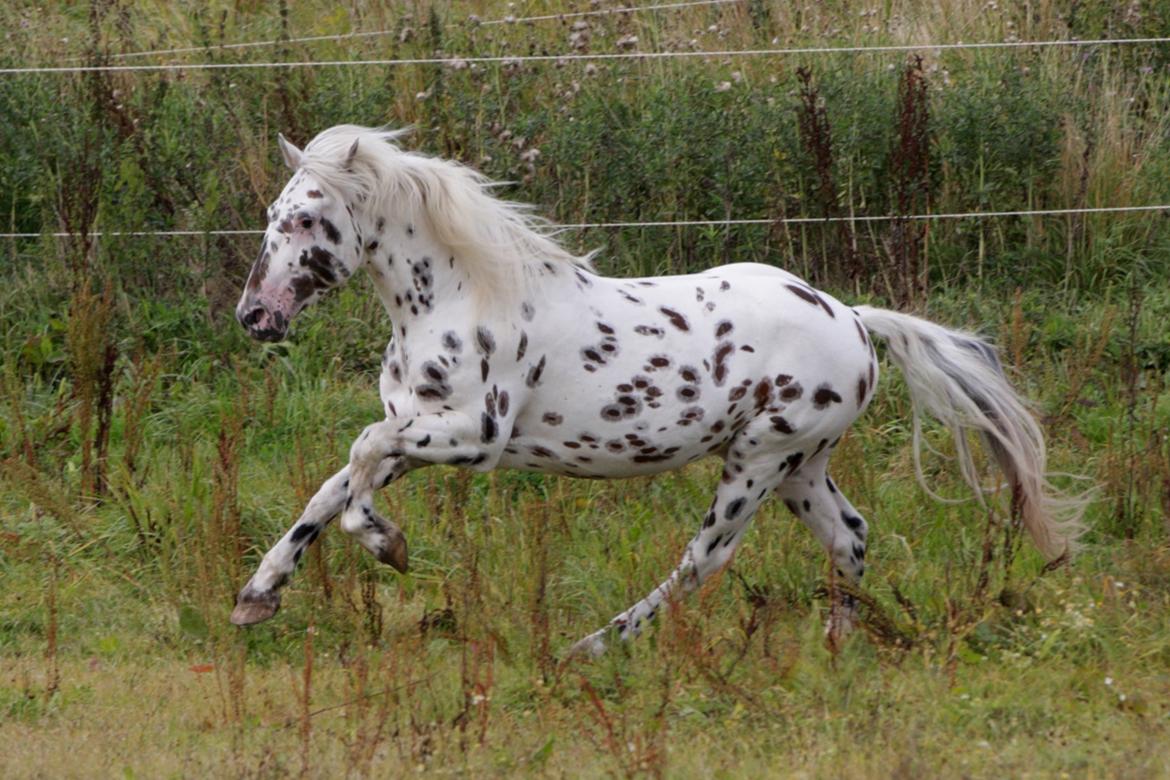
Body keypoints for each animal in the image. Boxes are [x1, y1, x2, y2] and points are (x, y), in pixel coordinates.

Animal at [230, 126, 1085, 654]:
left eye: (304, 222)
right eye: (273, 213)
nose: (255, 316)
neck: (464, 293)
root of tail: (853, 319)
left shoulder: (474, 437)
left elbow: (358, 461)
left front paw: (389, 546)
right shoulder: (418, 429)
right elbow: (331, 488)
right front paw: (258, 595)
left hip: (757, 462)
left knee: (705, 558)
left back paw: (592, 647)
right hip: (802, 465)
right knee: (848, 534)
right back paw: (838, 644)